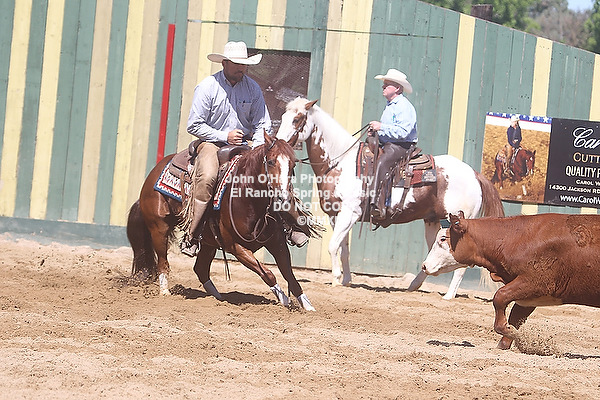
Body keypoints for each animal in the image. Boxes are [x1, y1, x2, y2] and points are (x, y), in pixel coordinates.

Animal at [126, 131, 317, 310]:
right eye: (270, 162)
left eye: (292, 164)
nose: (283, 198)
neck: (248, 198)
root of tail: (155, 171)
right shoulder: (236, 248)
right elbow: (268, 273)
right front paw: (284, 300)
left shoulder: (277, 242)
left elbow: (289, 274)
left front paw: (308, 306)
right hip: (159, 228)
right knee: (163, 262)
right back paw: (165, 291)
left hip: (208, 242)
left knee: (200, 269)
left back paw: (217, 299)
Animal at [276, 98, 505, 299]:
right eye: (283, 115)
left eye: (297, 119)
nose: (279, 143)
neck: (341, 162)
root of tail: (475, 174)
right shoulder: (336, 214)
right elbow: (343, 249)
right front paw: (347, 280)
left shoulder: (350, 213)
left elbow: (333, 246)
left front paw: (336, 279)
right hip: (432, 220)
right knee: (434, 249)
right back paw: (414, 285)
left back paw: (448, 295)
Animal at [422, 211, 600, 350]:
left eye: (443, 239)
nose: (424, 266)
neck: (518, 238)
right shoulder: (529, 296)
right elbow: (516, 316)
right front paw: (512, 340)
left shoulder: (536, 283)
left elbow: (500, 297)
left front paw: (509, 330)